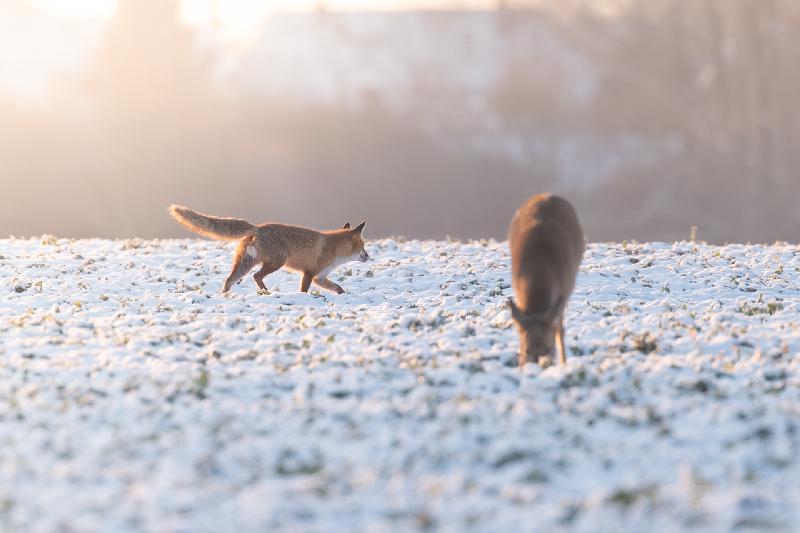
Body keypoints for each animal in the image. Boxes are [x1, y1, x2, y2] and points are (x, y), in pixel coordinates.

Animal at [169, 205, 370, 294]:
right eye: (364, 247)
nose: (369, 257)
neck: (334, 249)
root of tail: (258, 227)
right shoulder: (309, 273)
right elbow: (304, 290)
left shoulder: (319, 277)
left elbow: (338, 288)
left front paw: (343, 295)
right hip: (276, 262)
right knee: (256, 276)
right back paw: (265, 291)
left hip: (246, 263)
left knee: (229, 279)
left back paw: (225, 296)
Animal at [508, 193, 584, 367]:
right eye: (526, 349)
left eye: (549, 348)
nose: (538, 367)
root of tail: (547, 195)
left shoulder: (564, 292)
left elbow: (559, 330)